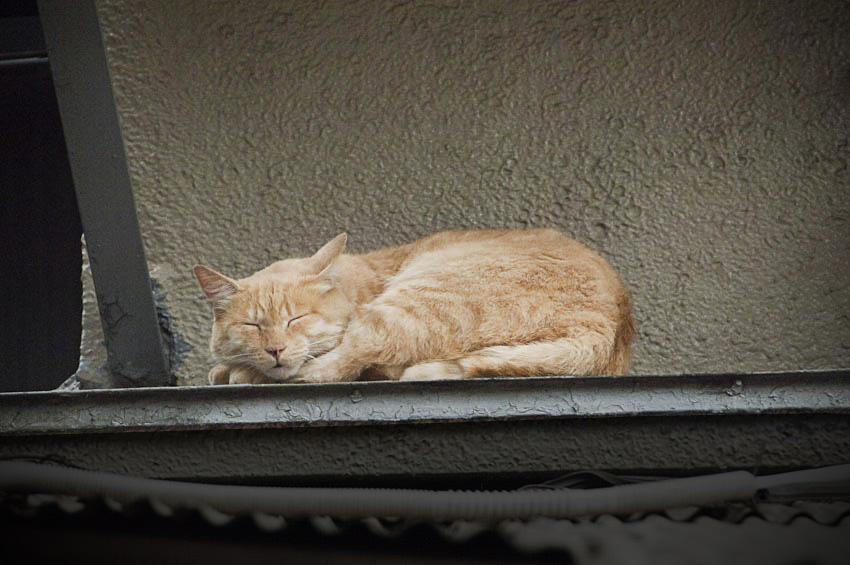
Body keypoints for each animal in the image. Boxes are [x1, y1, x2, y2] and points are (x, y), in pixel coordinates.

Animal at [192, 228, 628, 384]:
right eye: (252, 326)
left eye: (297, 318)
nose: (275, 349)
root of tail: (609, 328)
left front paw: (236, 371)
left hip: (420, 295)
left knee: (343, 362)